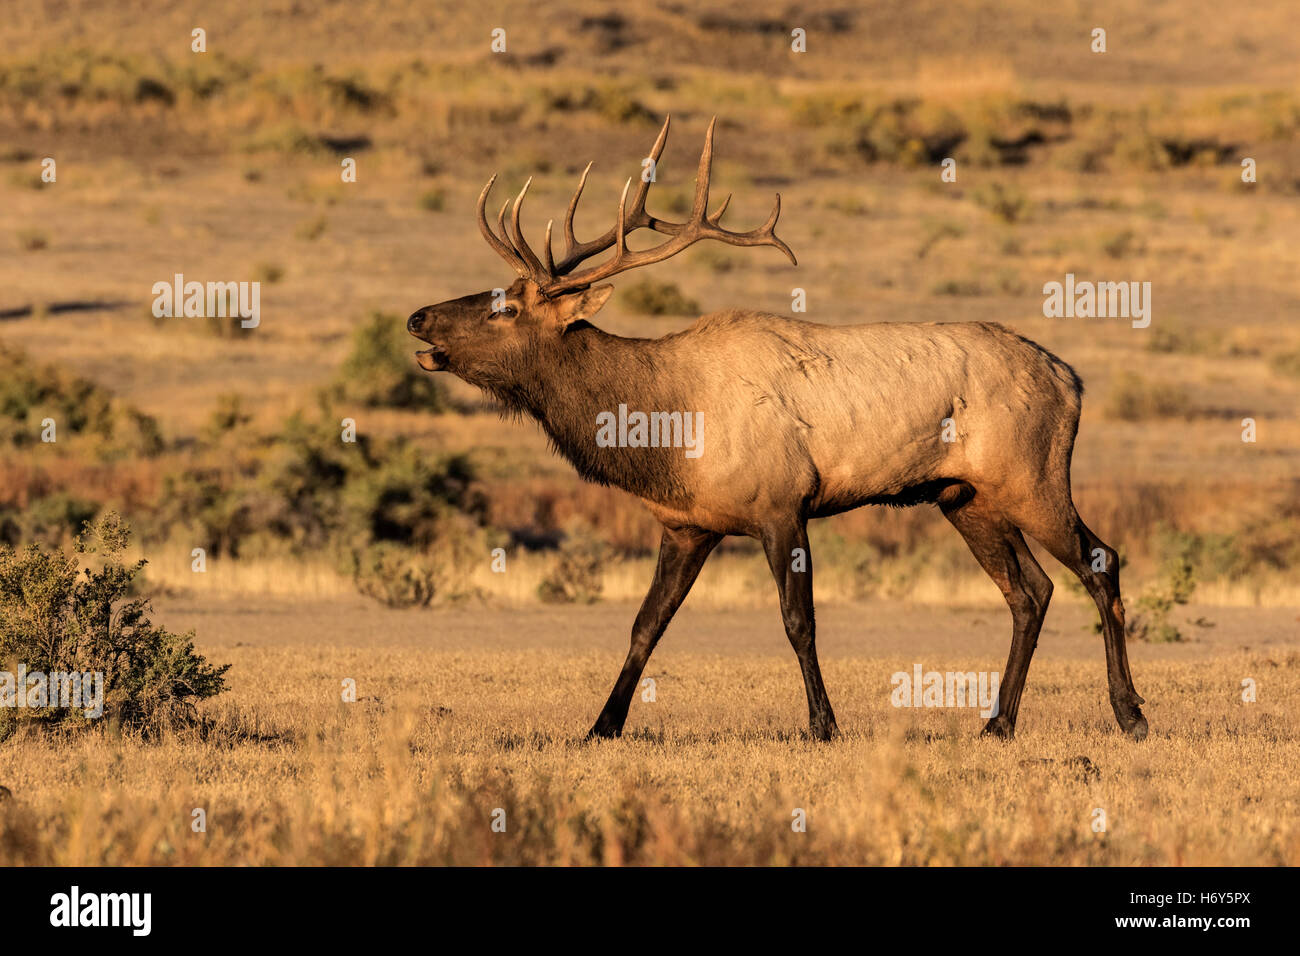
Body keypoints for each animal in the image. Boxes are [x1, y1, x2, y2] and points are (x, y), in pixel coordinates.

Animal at [407, 116, 1148, 744]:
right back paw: (998, 722)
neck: (665, 429)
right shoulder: (688, 524)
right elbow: (645, 625)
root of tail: (1072, 379)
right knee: (1031, 591)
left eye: (504, 308)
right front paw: (601, 726)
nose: (417, 317)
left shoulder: (782, 504)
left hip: (1033, 477)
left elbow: (799, 622)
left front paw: (823, 725)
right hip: (966, 498)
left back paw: (1130, 714)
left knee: (1100, 561)